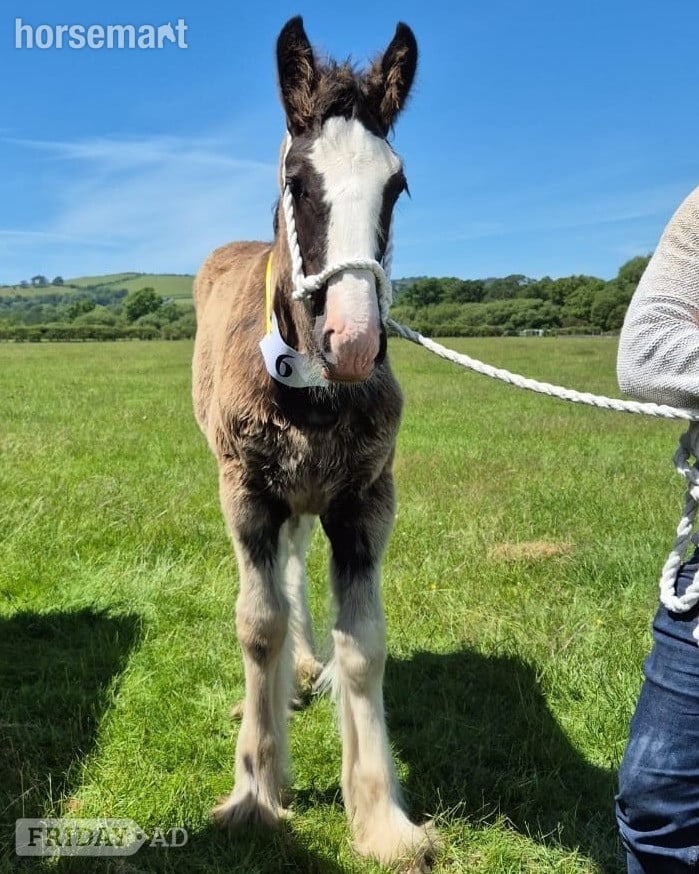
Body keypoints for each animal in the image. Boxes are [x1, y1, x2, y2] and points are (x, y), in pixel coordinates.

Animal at [192, 16, 435, 868]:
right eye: (297, 181)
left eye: (397, 186)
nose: (353, 340)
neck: (309, 391)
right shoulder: (246, 493)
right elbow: (255, 623)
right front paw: (255, 792)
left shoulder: (364, 500)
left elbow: (361, 643)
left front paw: (382, 818)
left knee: (295, 563)